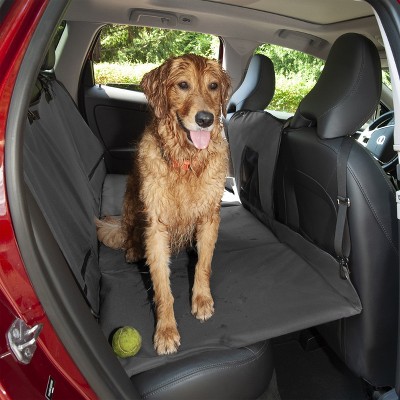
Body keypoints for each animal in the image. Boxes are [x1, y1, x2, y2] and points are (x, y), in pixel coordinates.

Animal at [96, 54, 231, 356]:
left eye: (213, 86)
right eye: (182, 85)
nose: (206, 119)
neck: (186, 159)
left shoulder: (209, 217)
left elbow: (203, 264)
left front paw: (202, 300)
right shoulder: (156, 227)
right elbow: (161, 287)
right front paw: (166, 331)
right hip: (131, 203)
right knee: (130, 233)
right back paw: (133, 249)